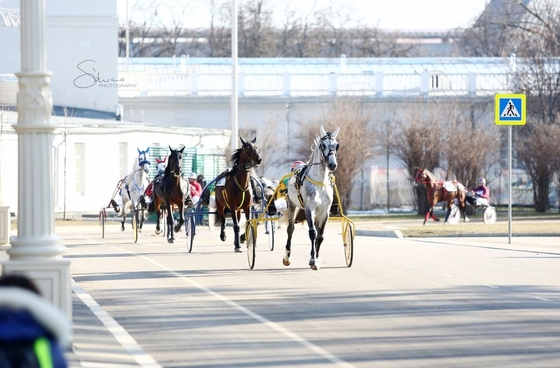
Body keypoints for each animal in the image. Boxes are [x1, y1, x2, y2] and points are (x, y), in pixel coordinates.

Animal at [282, 126, 340, 270]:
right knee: (290, 229)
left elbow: (320, 236)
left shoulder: (324, 212)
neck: (319, 183)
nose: (332, 165)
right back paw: (287, 257)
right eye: (323, 145)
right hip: (292, 206)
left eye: (336, 145)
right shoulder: (309, 208)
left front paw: (317, 259)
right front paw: (313, 260)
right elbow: (313, 233)